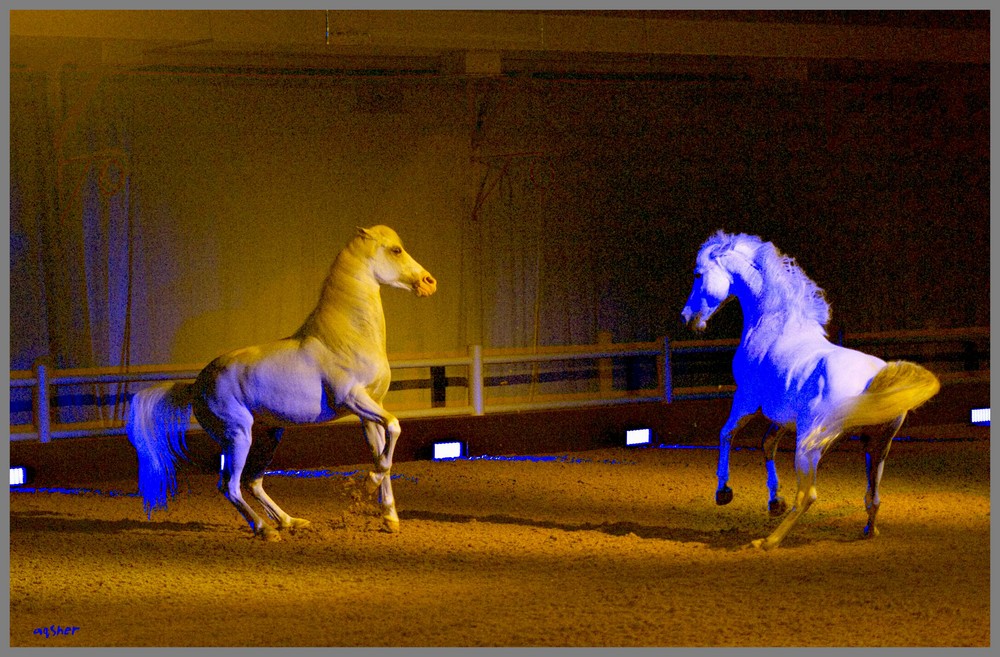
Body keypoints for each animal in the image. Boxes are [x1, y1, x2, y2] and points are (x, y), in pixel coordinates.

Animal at [127, 226, 436, 540]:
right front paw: (369, 484)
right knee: (230, 486)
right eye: (395, 250)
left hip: (268, 436)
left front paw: (390, 518)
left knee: (252, 482)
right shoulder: (353, 399)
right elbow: (394, 429)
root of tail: (196, 386)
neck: (348, 338)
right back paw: (265, 530)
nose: (428, 282)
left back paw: (291, 522)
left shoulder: (370, 411)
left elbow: (384, 453)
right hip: (238, 437)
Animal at [680, 231, 936, 548]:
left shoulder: (747, 399)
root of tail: (874, 379)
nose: (687, 317)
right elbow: (767, 444)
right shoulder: (781, 416)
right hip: (876, 445)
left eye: (698, 274)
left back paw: (768, 542)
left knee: (807, 496)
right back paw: (869, 532)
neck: (773, 325)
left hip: (810, 443)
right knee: (872, 496)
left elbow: (727, 434)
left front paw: (723, 493)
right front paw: (774, 502)